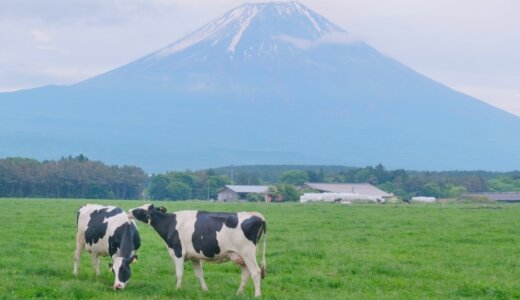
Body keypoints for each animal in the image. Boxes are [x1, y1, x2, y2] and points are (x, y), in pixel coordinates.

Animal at [127, 204, 266, 298]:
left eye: (140, 210)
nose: (128, 211)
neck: (170, 223)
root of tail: (257, 215)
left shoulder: (178, 252)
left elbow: (179, 274)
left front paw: (177, 290)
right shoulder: (195, 257)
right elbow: (199, 274)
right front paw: (205, 290)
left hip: (247, 253)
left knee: (256, 272)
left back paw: (257, 295)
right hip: (240, 256)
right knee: (245, 274)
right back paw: (238, 293)